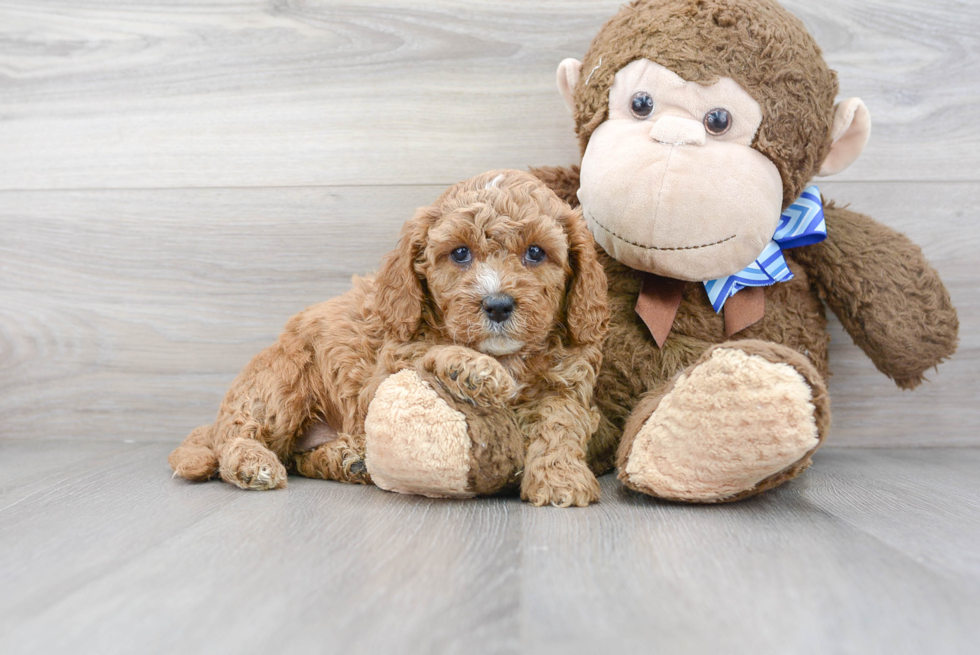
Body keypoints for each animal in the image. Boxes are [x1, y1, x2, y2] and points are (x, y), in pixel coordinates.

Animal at [172, 169, 608, 508]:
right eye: (460, 253)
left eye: (536, 252)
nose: (497, 305)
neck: (507, 356)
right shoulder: (380, 377)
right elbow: (428, 351)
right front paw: (474, 368)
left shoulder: (567, 386)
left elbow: (561, 426)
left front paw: (560, 478)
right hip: (282, 381)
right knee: (238, 433)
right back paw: (253, 463)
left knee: (299, 457)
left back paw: (349, 460)